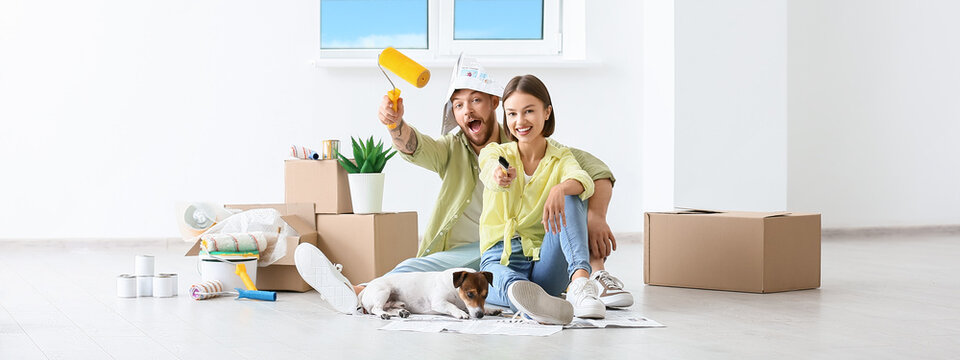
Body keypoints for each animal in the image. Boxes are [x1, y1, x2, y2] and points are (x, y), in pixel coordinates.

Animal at [358, 268, 502, 320]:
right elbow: (452, 306)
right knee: (376, 309)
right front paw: (460, 313)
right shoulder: (439, 302)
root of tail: (367, 287)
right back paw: (384, 314)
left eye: (485, 295)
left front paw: (491, 310)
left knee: (389, 307)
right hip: (383, 291)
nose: (480, 315)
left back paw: (401, 312)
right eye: (470, 294)